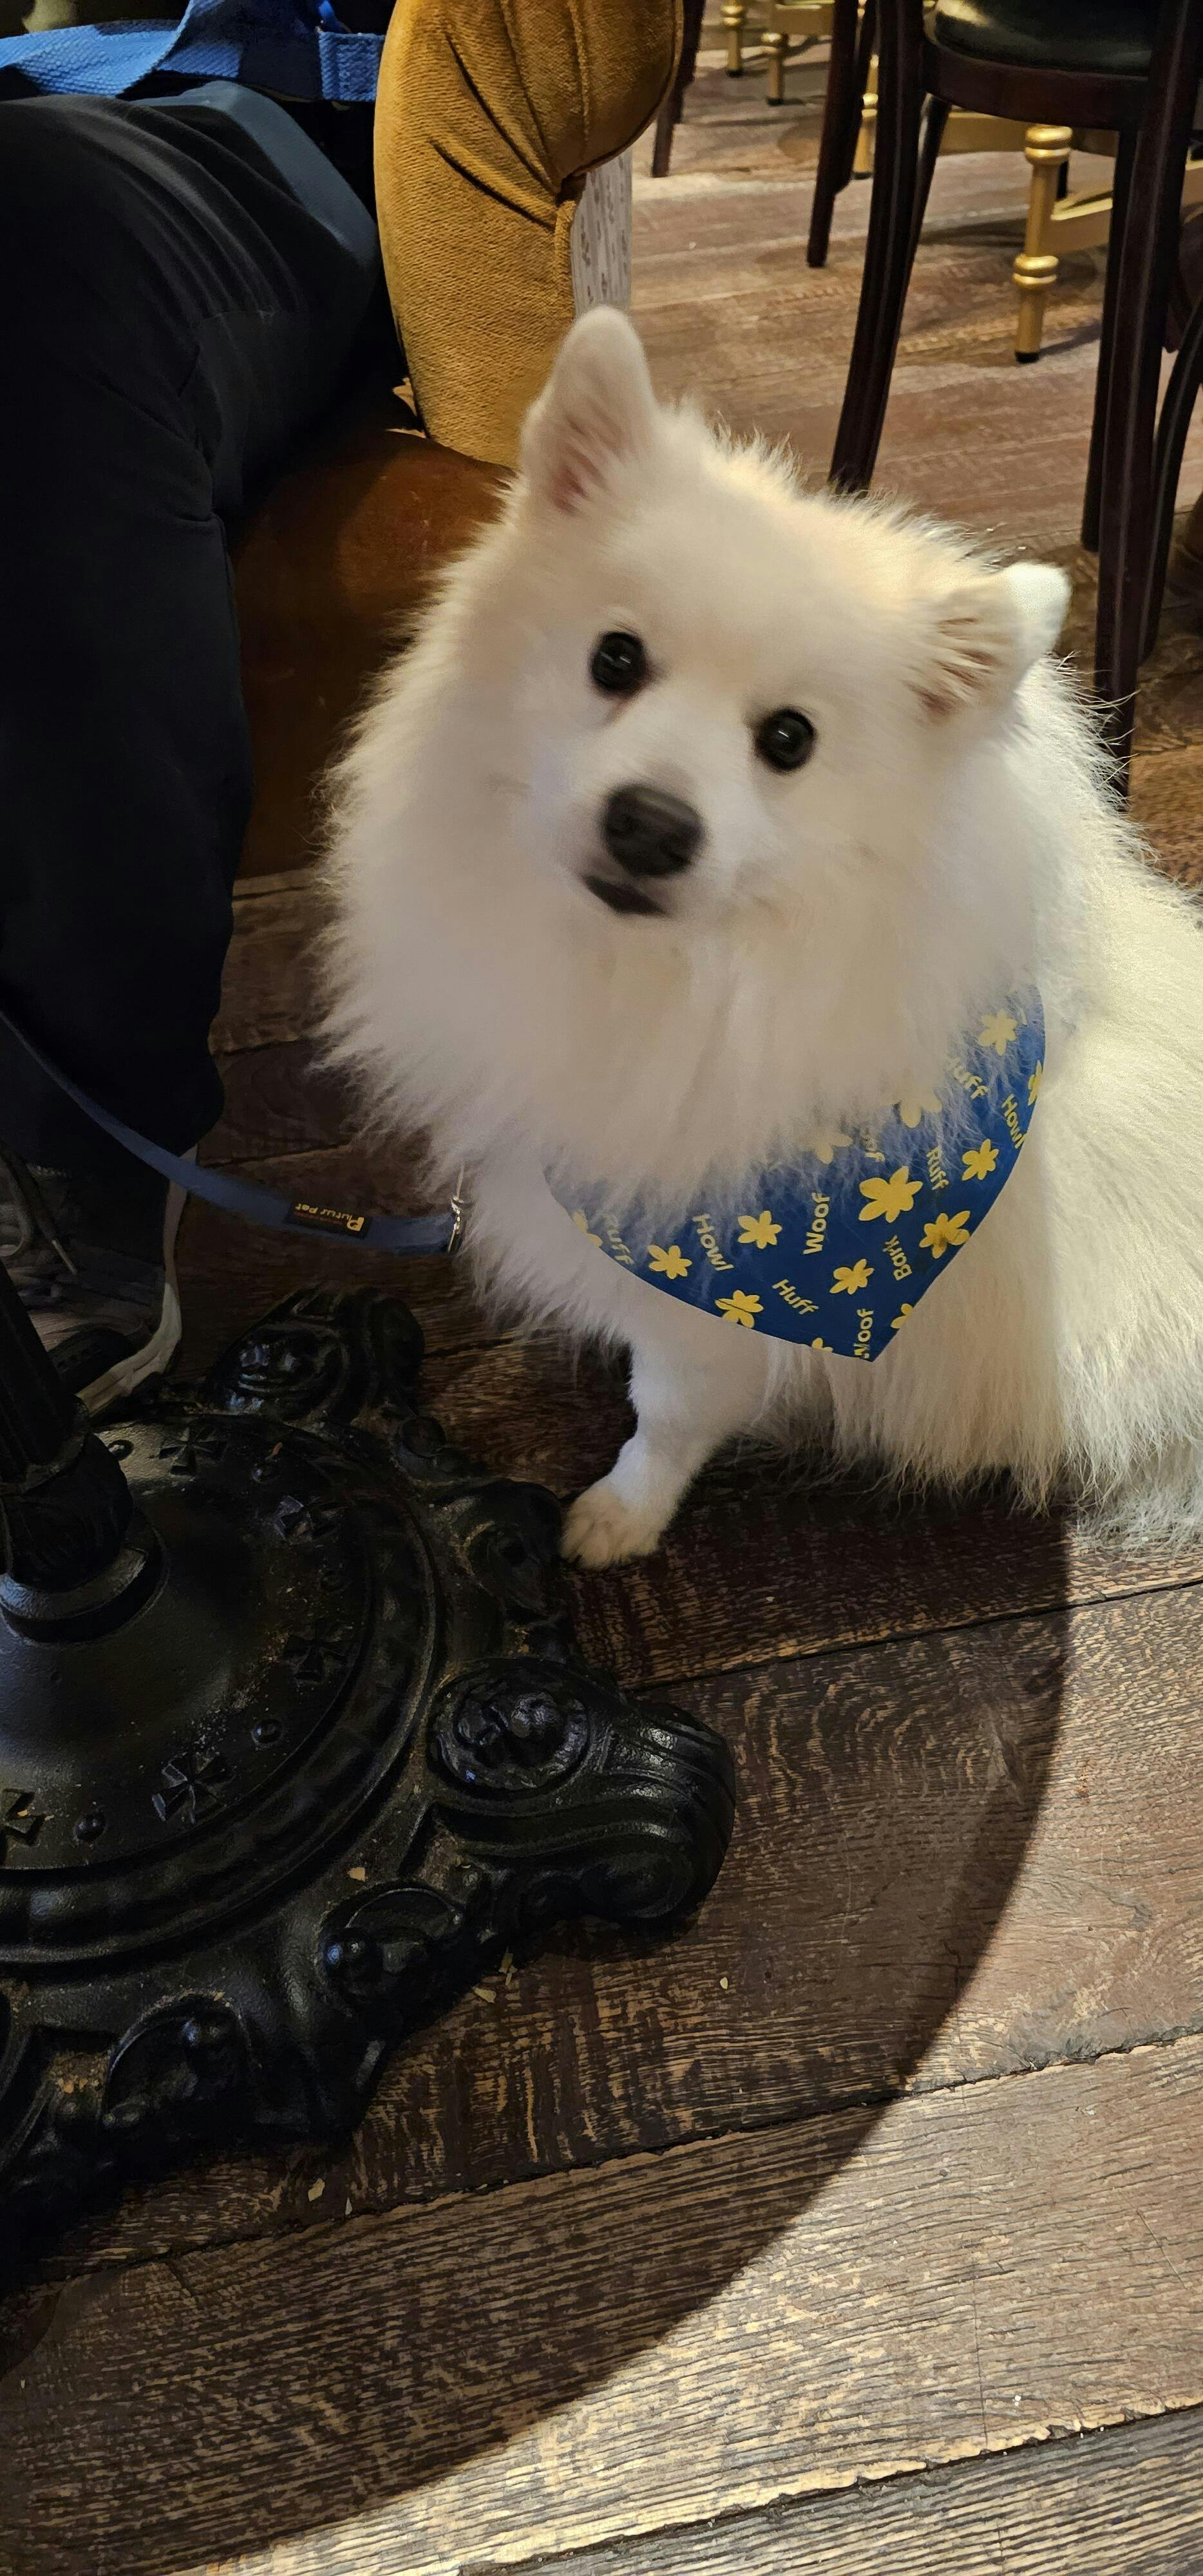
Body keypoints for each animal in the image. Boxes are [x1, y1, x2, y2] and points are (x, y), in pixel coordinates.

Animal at [325, 308, 1203, 1567]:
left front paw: (617, 1519)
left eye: (788, 741)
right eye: (615, 660)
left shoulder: (718, 1308)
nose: (649, 823)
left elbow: (666, 1414)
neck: (685, 980)